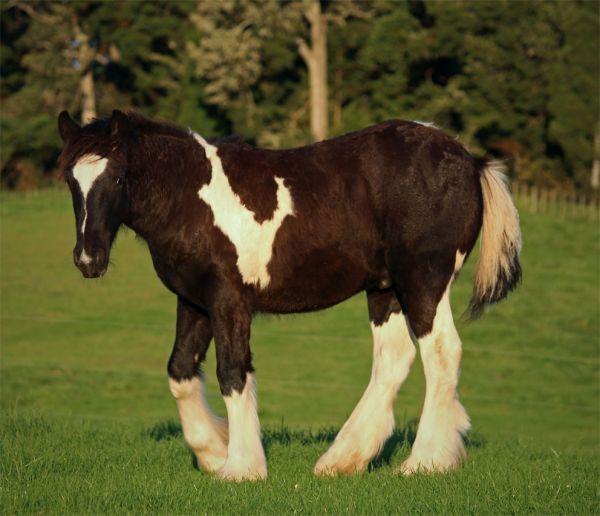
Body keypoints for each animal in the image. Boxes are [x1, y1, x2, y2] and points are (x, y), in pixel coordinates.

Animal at [58, 110, 524, 480]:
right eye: (70, 181)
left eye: (118, 175)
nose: (87, 259)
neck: (193, 197)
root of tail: (469, 160)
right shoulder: (193, 300)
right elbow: (180, 370)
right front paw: (213, 453)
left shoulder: (229, 300)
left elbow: (232, 372)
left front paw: (241, 467)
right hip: (385, 289)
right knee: (394, 359)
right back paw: (343, 460)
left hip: (423, 281)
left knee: (441, 352)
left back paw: (425, 461)